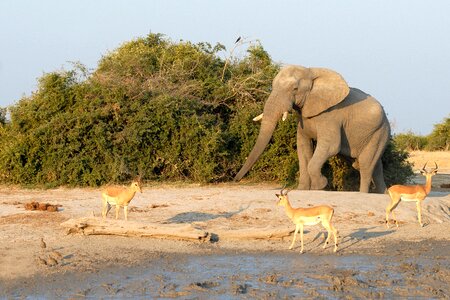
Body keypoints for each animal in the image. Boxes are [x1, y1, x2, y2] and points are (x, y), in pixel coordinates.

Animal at [236, 65, 390, 195]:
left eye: (294, 89)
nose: (235, 179)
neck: (310, 72)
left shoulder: (331, 116)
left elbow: (331, 146)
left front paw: (320, 186)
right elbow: (303, 147)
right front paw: (302, 189)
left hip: (380, 132)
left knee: (365, 164)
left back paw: (363, 193)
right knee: (374, 167)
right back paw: (384, 193)